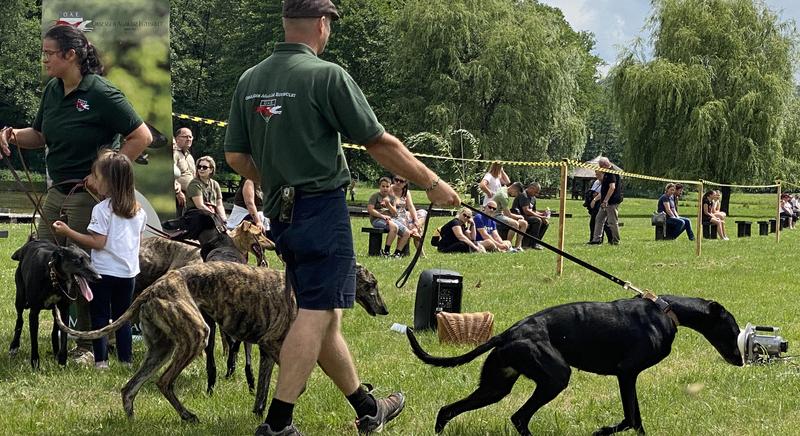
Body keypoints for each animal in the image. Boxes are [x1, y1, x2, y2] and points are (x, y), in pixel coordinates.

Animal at [9, 238, 101, 368]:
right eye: (78, 261)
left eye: (90, 260)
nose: (99, 277)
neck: (53, 277)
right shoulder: (34, 312)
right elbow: (34, 341)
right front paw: (35, 364)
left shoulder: (64, 309)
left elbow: (63, 337)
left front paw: (62, 362)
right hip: (20, 298)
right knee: (19, 319)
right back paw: (14, 345)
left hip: (54, 310)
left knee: (54, 331)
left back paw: (56, 351)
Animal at [54, 260, 388, 420]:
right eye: (371, 285)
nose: (385, 310)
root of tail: (151, 289)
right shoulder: (272, 343)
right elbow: (298, 382)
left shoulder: (265, 351)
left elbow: (261, 391)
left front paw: (259, 414)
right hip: (195, 336)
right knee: (163, 382)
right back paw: (188, 415)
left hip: (161, 348)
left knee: (129, 388)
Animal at [406, 294, 744, 434]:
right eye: (733, 329)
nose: (740, 361)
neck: (666, 311)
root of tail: (508, 334)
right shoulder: (626, 373)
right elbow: (631, 418)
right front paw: (604, 431)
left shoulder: (627, 377)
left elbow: (634, 420)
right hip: (555, 377)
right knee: (519, 417)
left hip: (495, 386)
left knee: (448, 410)